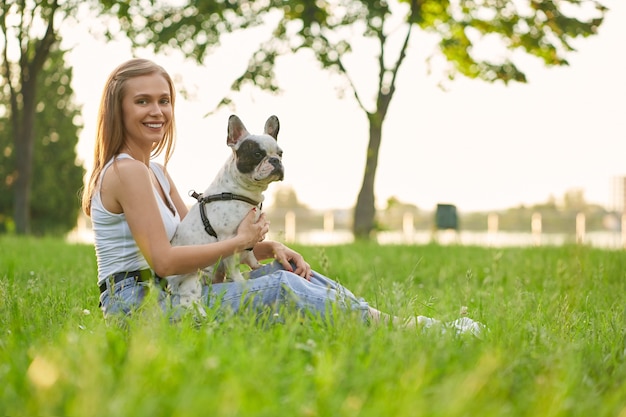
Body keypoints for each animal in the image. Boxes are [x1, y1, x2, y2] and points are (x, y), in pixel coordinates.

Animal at [166, 114, 282, 308]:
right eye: (257, 154)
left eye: (281, 154)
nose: (276, 161)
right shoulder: (230, 239)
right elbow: (233, 266)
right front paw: (241, 282)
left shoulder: (249, 241)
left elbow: (251, 256)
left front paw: (257, 267)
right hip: (193, 280)